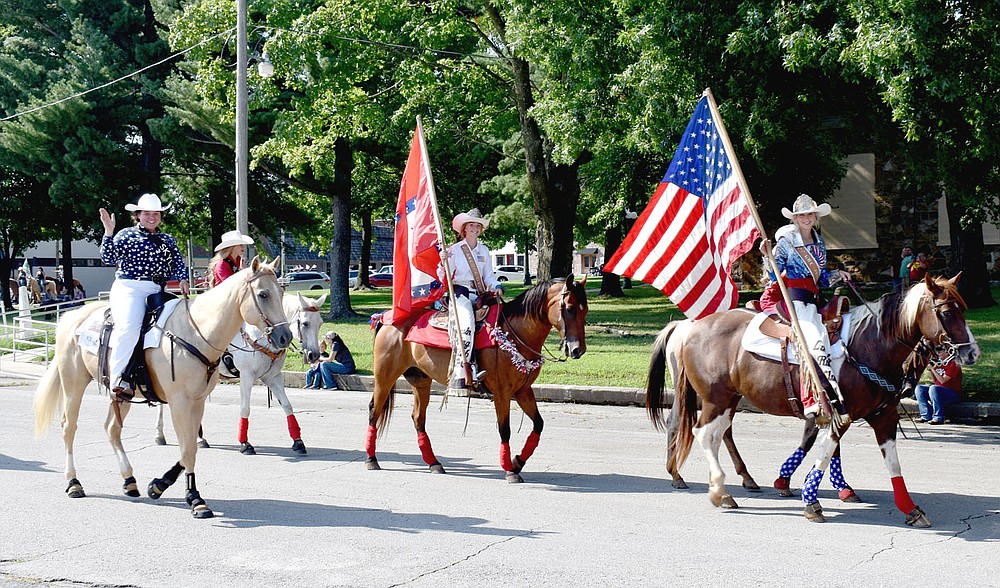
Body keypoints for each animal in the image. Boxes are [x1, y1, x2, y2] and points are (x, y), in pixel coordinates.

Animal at [34, 258, 292, 520]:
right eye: (263, 294)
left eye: (281, 292)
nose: (285, 337)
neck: (195, 333)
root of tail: (73, 316)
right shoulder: (180, 402)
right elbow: (188, 449)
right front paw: (195, 498)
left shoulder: (198, 401)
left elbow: (189, 446)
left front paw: (159, 485)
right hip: (73, 383)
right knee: (69, 427)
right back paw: (73, 482)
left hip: (121, 394)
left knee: (112, 429)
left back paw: (129, 480)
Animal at [152, 292, 326, 454]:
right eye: (305, 323)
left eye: (320, 323)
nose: (314, 355)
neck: (260, 334)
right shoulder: (247, 376)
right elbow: (245, 408)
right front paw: (245, 443)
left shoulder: (272, 377)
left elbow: (287, 406)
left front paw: (298, 441)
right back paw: (160, 434)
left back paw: (199, 438)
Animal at [366, 276, 584, 482]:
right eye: (570, 309)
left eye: (585, 310)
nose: (577, 350)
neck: (513, 334)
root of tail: (386, 317)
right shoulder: (502, 394)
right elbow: (505, 430)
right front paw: (509, 469)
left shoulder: (523, 391)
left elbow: (538, 425)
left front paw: (517, 462)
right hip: (385, 377)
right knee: (374, 411)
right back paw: (371, 459)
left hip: (420, 380)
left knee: (418, 418)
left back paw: (434, 463)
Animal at [644, 276, 980, 528]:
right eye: (947, 312)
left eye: (963, 308)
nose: (972, 352)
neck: (869, 344)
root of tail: (691, 326)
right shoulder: (839, 413)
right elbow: (825, 450)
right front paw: (810, 498)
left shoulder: (883, 416)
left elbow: (891, 462)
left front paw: (910, 508)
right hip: (715, 398)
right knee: (701, 433)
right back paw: (714, 488)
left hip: (728, 400)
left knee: (717, 434)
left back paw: (730, 484)